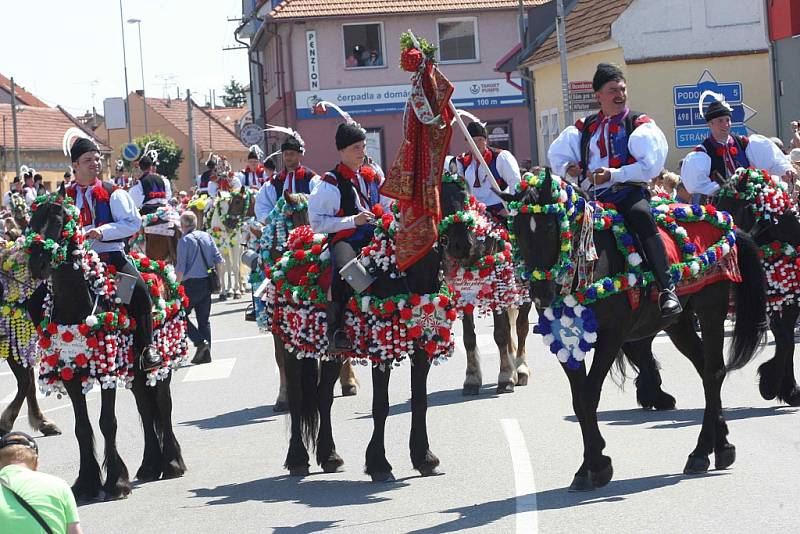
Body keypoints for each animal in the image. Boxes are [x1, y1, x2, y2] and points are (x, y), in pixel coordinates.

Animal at [0, 240, 61, 440]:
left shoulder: (23, 345)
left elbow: (29, 384)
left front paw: (42, 422)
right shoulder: (12, 345)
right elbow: (25, 383)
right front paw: (5, 423)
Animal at [25, 193, 189, 502]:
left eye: (58, 219)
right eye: (31, 221)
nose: (36, 264)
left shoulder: (106, 372)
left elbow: (107, 422)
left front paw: (116, 481)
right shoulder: (72, 374)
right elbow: (82, 427)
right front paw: (86, 483)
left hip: (161, 362)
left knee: (163, 404)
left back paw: (172, 463)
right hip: (135, 372)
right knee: (145, 408)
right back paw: (150, 466)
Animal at [438, 175, 532, 394]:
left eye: (465, 199)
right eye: (440, 200)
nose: (461, 244)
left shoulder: (497, 296)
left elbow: (500, 334)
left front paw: (506, 376)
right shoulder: (463, 298)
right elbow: (469, 338)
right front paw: (472, 378)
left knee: (521, 328)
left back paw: (520, 369)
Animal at [500, 170, 768, 492]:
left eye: (551, 226)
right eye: (517, 230)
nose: (541, 294)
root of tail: (725, 221)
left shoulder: (612, 336)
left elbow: (589, 395)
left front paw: (598, 466)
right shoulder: (564, 341)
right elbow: (579, 400)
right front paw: (587, 466)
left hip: (711, 309)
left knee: (713, 373)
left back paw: (702, 452)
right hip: (679, 324)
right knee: (706, 372)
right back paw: (721, 447)